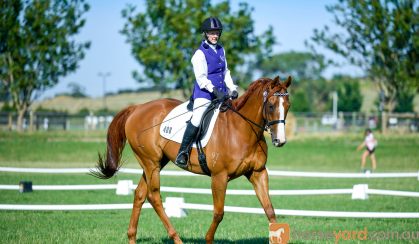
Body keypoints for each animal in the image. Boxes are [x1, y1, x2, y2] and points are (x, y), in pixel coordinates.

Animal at [93, 75, 292, 243]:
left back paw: (132, 237)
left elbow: (270, 210)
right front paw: (208, 239)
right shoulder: (219, 177)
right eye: (271, 106)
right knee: (154, 196)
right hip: (151, 163)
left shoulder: (258, 173)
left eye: (288, 106)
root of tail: (137, 108)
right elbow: (219, 213)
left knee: (140, 194)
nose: (280, 141)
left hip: (155, 163)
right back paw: (176, 238)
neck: (242, 129)